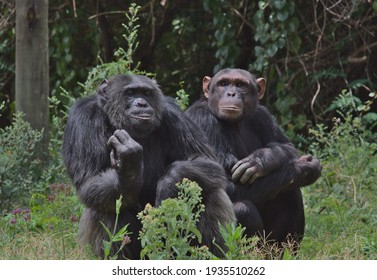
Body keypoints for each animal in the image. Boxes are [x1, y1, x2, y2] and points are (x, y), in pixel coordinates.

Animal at [63, 73, 236, 260]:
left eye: (146, 93)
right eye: (130, 93)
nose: (142, 103)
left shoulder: (173, 114)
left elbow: (205, 160)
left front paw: (168, 185)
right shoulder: (83, 118)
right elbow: (90, 180)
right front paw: (129, 166)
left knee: (209, 191)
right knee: (105, 205)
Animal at [185, 68, 320, 247]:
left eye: (241, 85)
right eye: (223, 83)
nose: (231, 93)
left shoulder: (262, 114)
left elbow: (286, 145)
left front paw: (261, 160)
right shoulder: (203, 121)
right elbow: (222, 184)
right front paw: (304, 168)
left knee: (291, 192)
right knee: (242, 209)